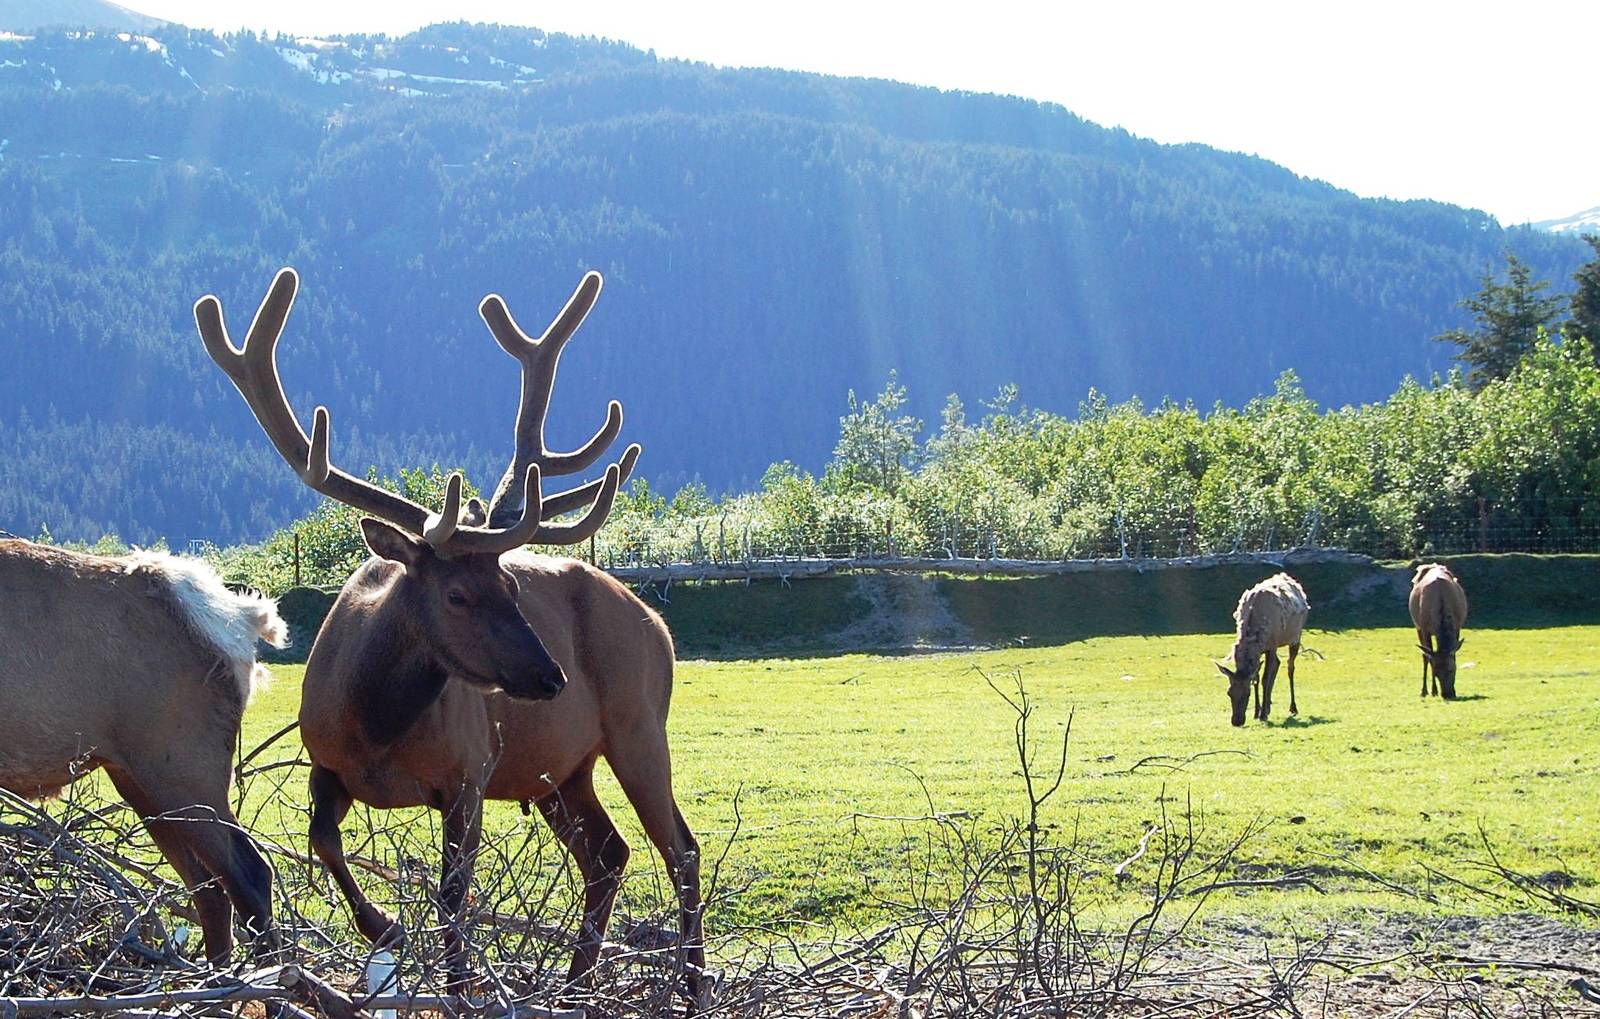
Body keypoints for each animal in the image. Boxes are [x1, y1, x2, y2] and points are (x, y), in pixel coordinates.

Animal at [195, 268, 706, 1005]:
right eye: (459, 593)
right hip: (560, 768)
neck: (377, 726)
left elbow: (452, 894)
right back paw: (573, 985)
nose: (552, 676)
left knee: (680, 849)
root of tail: (659, 624)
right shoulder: (324, 760)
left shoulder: (470, 772)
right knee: (610, 854)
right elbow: (323, 839)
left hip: (639, 723)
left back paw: (692, 986)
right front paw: (383, 925)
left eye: (513, 585)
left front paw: (459, 985)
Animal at [1214, 572, 1309, 726]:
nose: (1236, 721)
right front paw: (1257, 712)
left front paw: (1262, 714)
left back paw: (1293, 708)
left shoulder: (1271, 646)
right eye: (1229, 692)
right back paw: (1268, 705)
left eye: (1247, 693)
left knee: (1290, 667)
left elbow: (1264, 679)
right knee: (1277, 664)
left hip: (1296, 636)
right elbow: (1256, 679)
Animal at [1409, 563, 1467, 699]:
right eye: (1436, 672)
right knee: (1425, 656)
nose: (1447, 694)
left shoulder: (1457, 627)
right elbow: (1429, 657)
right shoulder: (1424, 628)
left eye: (1452, 669)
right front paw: (1432, 690)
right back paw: (1425, 691)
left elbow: (1453, 654)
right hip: (1417, 626)